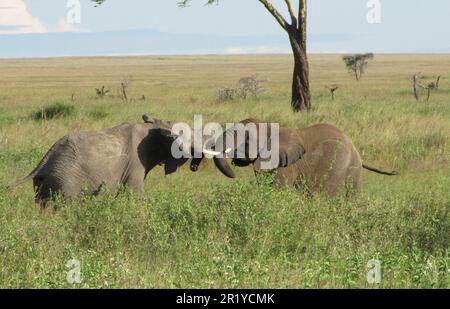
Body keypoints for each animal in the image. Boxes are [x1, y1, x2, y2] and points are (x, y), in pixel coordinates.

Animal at [9, 114, 188, 208]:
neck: (150, 127)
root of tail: (44, 161)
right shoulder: (136, 163)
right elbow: (134, 192)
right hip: (66, 179)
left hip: (44, 183)